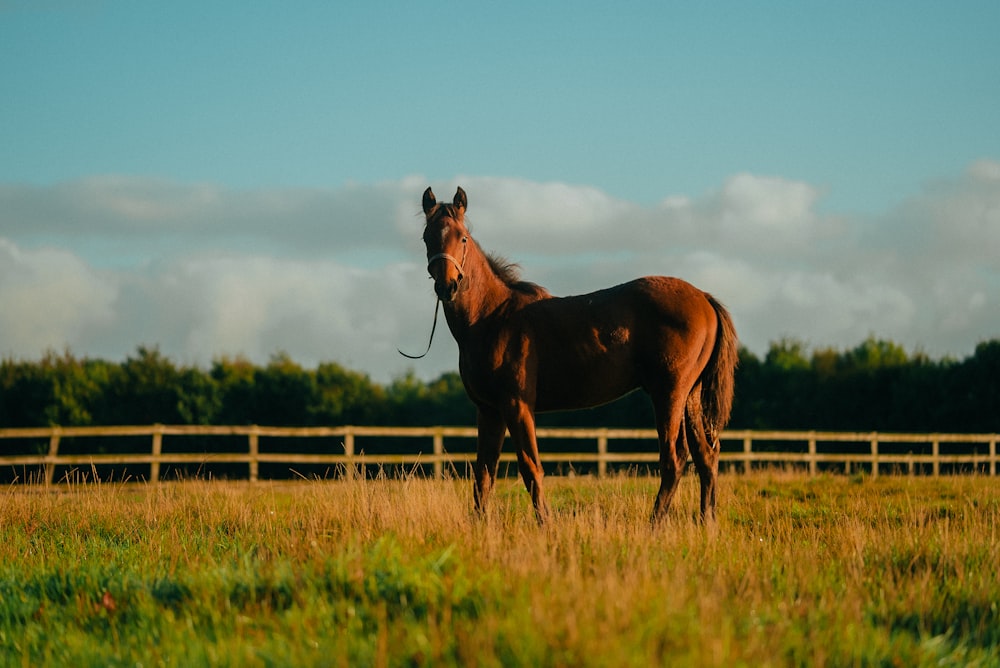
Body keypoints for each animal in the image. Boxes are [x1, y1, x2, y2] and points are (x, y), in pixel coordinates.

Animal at [418, 185, 740, 524]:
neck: (492, 317)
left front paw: (546, 523)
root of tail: (703, 297)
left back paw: (654, 525)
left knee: (674, 459)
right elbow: (483, 475)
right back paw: (707, 523)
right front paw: (480, 525)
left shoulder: (517, 405)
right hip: (691, 396)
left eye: (463, 237)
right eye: (427, 237)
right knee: (707, 456)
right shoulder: (489, 410)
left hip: (669, 394)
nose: (448, 286)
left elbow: (530, 468)